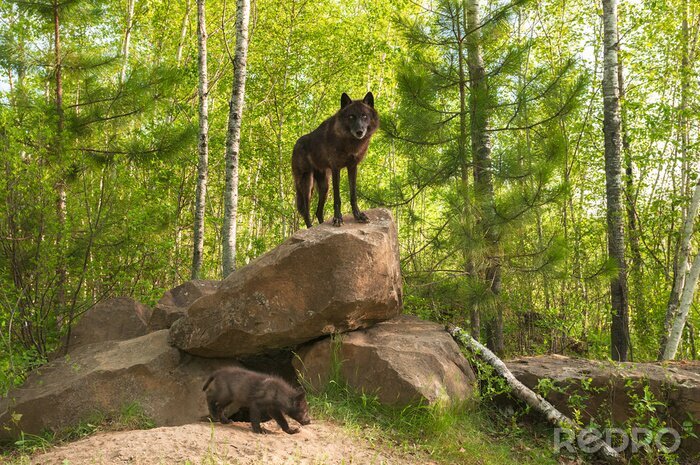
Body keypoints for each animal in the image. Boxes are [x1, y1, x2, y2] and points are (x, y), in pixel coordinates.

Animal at [292, 92, 379, 228]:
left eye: (364, 116)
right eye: (351, 117)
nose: (359, 132)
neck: (350, 142)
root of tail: (295, 144)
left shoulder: (352, 167)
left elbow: (353, 195)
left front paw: (358, 216)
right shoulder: (335, 168)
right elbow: (337, 198)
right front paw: (338, 218)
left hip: (324, 186)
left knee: (318, 212)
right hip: (307, 185)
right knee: (306, 211)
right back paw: (310, 228)